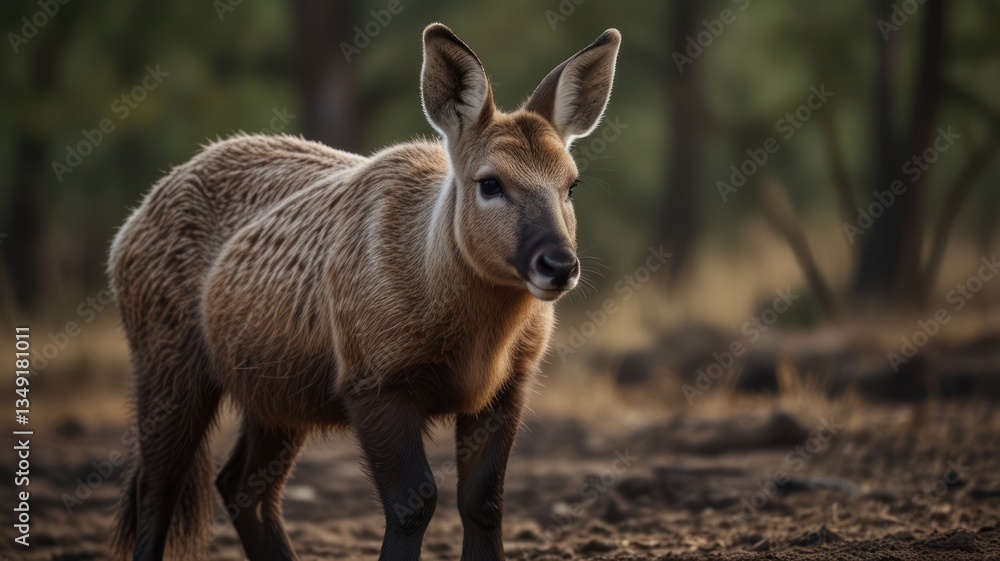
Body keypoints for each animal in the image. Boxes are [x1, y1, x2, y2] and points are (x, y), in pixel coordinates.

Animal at [109, 23, 620, 561]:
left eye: (571, 184)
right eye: (490, 182)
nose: (559, 265)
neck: (477, 341)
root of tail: (127, 231)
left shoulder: (507, 388)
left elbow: (483, 501)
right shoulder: (374, 382)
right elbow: (413, 503)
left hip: (274, 394)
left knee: (239, 485)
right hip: (168, 367)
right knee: (157, 485)